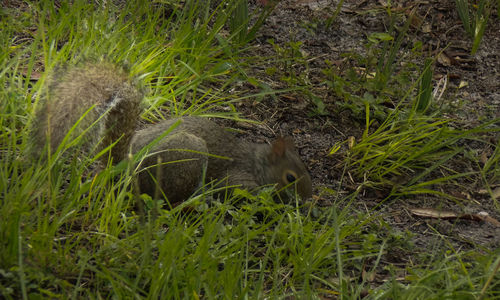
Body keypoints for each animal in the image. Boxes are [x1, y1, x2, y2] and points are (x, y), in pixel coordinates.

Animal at [28, 61, 312, 204]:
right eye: (290, 178)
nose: (308, 199)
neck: (258, 163)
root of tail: (127, 169)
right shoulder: (238, 178)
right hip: (189, 156)